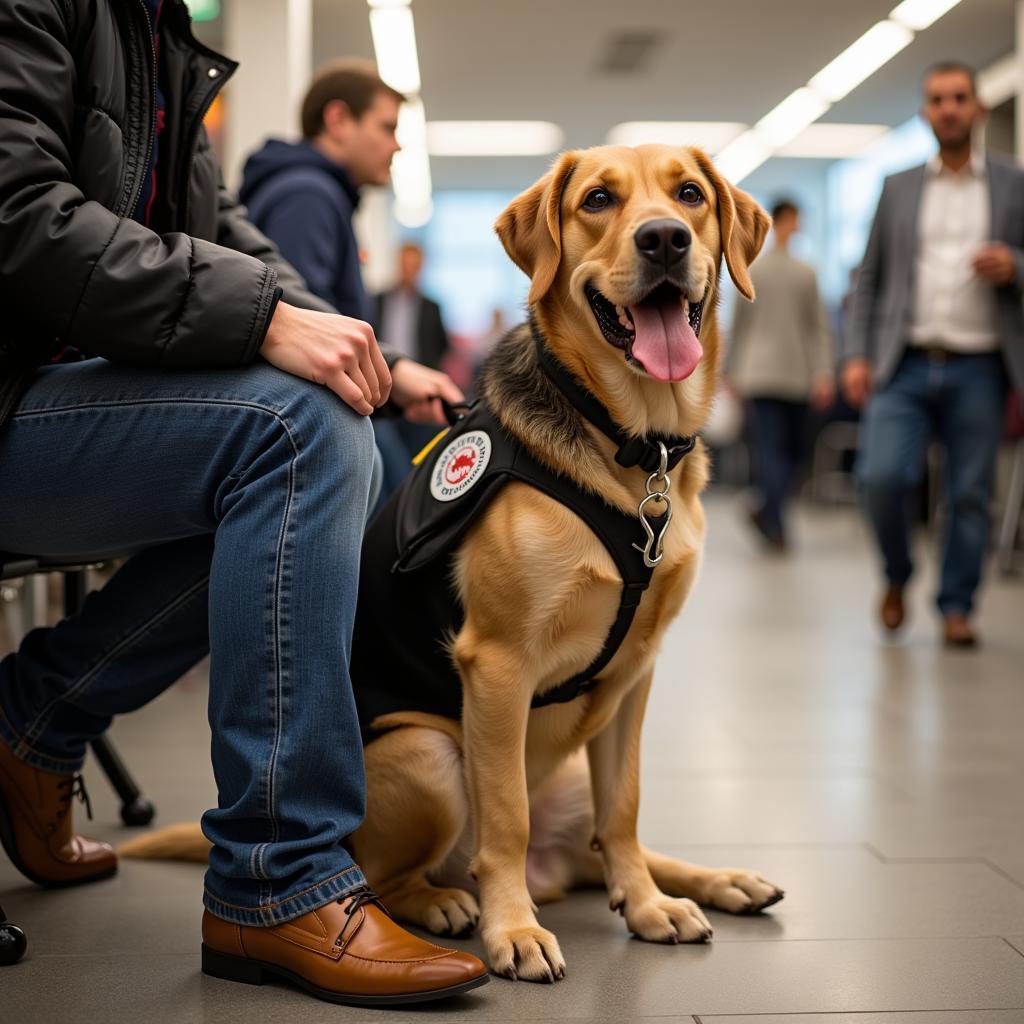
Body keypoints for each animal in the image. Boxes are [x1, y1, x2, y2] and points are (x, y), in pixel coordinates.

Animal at [123, 146, 786, 983]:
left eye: (691, 194)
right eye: (598, 201)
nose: (664, 239)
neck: (631, 444)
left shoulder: (635, 674)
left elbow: (626, 810)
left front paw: (646, 908)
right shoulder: (497, 667)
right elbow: (505, 815)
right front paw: (515, 931)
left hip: (567, 776)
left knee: (599, 843)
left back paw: (717, 880)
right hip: (430, 753)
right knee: (400, 871)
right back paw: (448, 903)